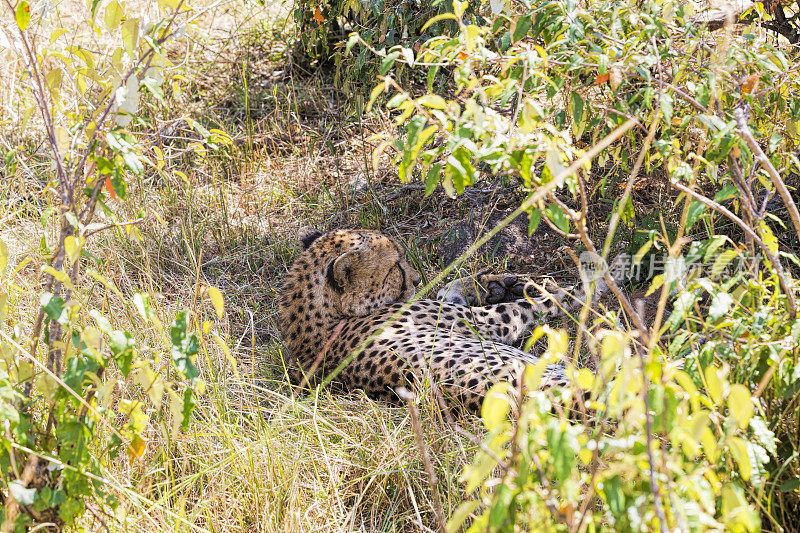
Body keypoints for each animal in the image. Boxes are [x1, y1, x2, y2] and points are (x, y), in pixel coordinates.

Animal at [278, 228, 572, 412]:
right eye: (395, 265)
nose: (418, 279)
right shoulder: (487, 323)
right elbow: (527, 307)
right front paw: (569, 291)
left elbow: (447, 293)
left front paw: (491, 285)